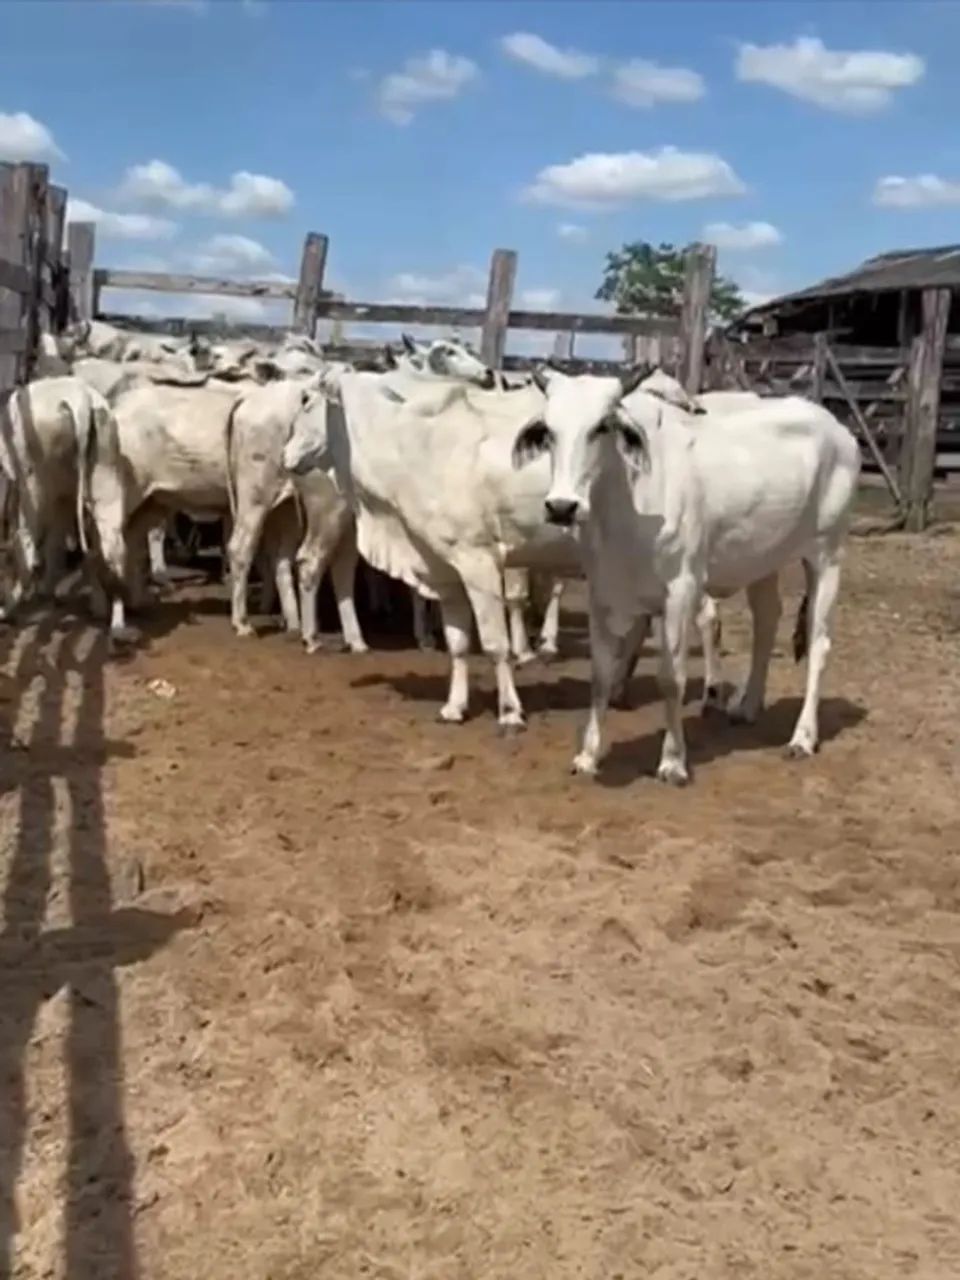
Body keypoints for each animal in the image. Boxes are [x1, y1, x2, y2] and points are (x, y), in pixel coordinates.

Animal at [511, 367, 861, 783]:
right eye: (549, 430)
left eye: (601, 426)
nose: (562, 506)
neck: (629, 502)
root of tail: (839, 429)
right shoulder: (603, 591)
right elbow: (600, 675)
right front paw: (588, 755)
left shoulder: (681, 590)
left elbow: (671, 677)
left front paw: (673, 761)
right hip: (764, 559)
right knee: (766, 623)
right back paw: (747, 706)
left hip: (828, 555)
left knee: (819, 643)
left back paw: (803, 737)